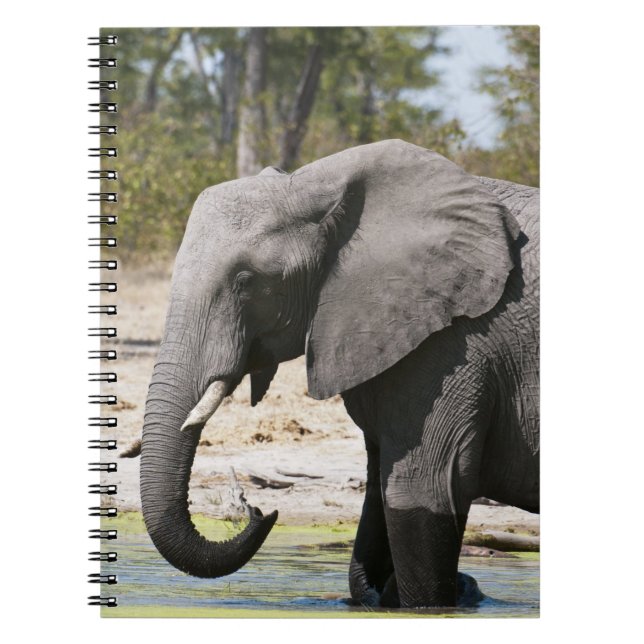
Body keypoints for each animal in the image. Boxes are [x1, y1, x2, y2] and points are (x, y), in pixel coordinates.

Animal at [140, 139, 539, 608]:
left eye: (247, 281)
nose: (259, 510)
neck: (318, 185)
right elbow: (379, 494)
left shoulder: (455, 344)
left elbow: (420, 493)